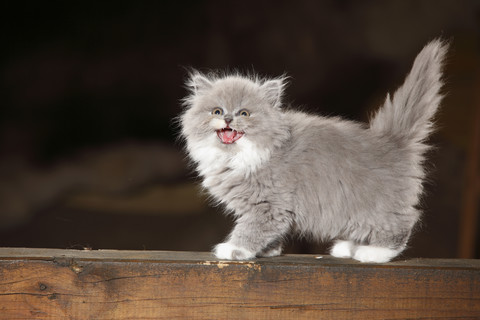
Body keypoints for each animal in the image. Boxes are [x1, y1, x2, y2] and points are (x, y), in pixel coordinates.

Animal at [179, 40, 446, 264]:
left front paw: (235, 249)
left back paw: (374, 253)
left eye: (244, 113)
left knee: (402, 223)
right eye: (216, 111)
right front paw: (269, 250)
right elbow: (271, 233)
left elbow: (252, 228)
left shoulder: (269, 205)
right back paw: (348, 247)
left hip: (378, 204)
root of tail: (391, 139)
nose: (228, 118)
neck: (237, 157)